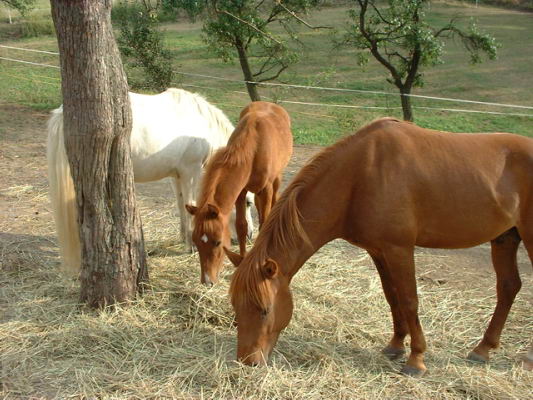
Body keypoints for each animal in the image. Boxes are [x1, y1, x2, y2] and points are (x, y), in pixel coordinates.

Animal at [47, 87, 254, 276]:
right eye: (248, 202)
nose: (249, 235)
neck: (203, 126)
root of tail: (62, 114)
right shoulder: (190, 172)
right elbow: (191, 205)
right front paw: (192, 245)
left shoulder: (177, 176)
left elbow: (181, 205)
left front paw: (183, 237)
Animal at [186, 101, 296, 286]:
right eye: (196, 240)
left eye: (217, 242)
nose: (207, 281)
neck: (254, 150)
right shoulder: (241, 192)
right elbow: (241, 226)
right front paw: (242, 261)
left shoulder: (266, 188)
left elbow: (264, 223)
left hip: (277, 179)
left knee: (274, 201)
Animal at [225, 117, 532, 376]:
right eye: (236, 307)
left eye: (264, 309)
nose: (248, 361)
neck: (360, 175)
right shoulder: (378, 250)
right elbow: (391, 296)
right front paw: (395, 346)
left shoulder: (400, 249)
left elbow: (409, 300)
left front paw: (416, 359)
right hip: (505, 238)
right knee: (508, 287)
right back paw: (483, 349)